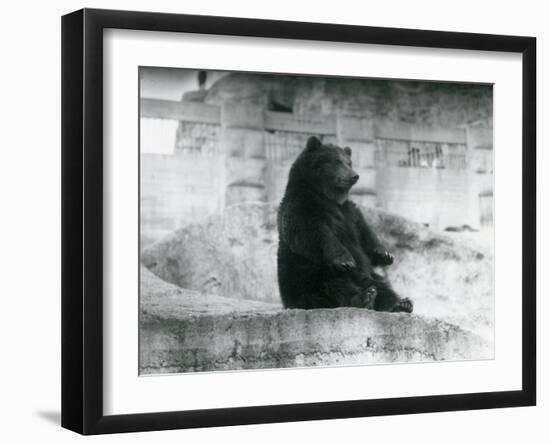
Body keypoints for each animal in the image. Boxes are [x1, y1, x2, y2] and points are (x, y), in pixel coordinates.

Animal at [280, 135, 414, 312]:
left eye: (349, 162)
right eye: (336, 161)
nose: (354, 176)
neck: (328, 196)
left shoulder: (349, 212)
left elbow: (364, 233)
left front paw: (385, 254)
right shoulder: (301, 205)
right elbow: (311, 232)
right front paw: (345, 260)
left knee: (381, 284)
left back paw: (400, 303)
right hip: (306, 277)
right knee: (334, 281)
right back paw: (363, 297)